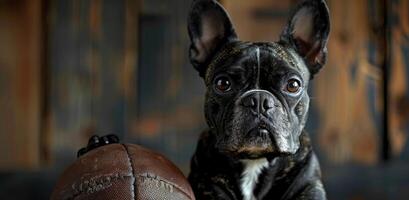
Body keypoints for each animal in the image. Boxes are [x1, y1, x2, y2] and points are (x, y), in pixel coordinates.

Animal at [186, 0, 330, 199]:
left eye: (293, 85)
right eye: (223, 83)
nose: (259, 100)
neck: (255, 160)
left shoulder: (310, 187)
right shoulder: (207, 185)